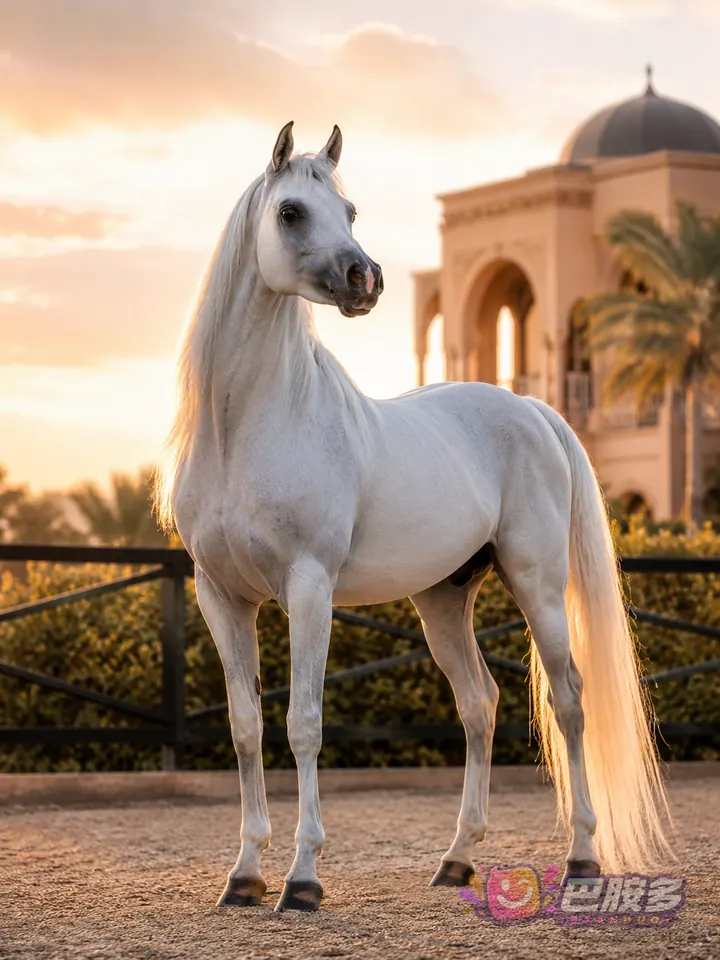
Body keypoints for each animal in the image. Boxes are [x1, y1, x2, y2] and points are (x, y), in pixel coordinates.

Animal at [155, 121, 669, 913]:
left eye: (351, 209)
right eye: (290, 212)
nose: (365, 279)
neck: (247, 428)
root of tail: (533, 408)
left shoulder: (310, 590)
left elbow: (304, 725)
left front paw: (303, 879)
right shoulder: (222, 596)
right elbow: (245, 727)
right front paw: (243, 876)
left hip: (538, 586)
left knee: (570, 701)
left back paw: (583, 857)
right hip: (443, 601)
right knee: (480, 704)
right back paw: (455, 860)